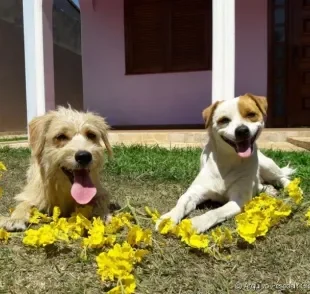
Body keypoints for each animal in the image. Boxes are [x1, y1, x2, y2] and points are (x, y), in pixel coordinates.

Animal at [156, 93, 294, 233]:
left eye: (251, 114)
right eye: (224, 120)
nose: (242, 130)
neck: (227, 160)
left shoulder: (238, 200)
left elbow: (215, 212)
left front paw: (197, 222)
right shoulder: (194, 192)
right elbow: (181, 202)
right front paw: (168, 218)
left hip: (267, 165)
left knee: (282, 177)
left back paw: (291, 187)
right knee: (260, 184)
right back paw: (267, 189)